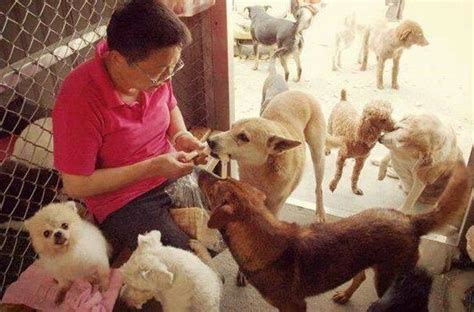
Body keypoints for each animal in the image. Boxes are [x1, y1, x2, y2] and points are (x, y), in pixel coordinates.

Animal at [196, 162, 470, 310]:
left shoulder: (295, 306)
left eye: (214, 185)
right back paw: (345, 295)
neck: (262, 240)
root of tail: (411, 220)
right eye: (223, 178)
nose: (198, 168)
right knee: (359, 275)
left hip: (387, 281)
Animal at [207, 89, 326, 222]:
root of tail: (300, 92)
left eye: (243, 137)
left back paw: (320, 212)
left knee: (319, 188)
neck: (259, 171)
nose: (209, 141)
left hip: (318, 156)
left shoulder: (274, 209)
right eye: (231, 127)